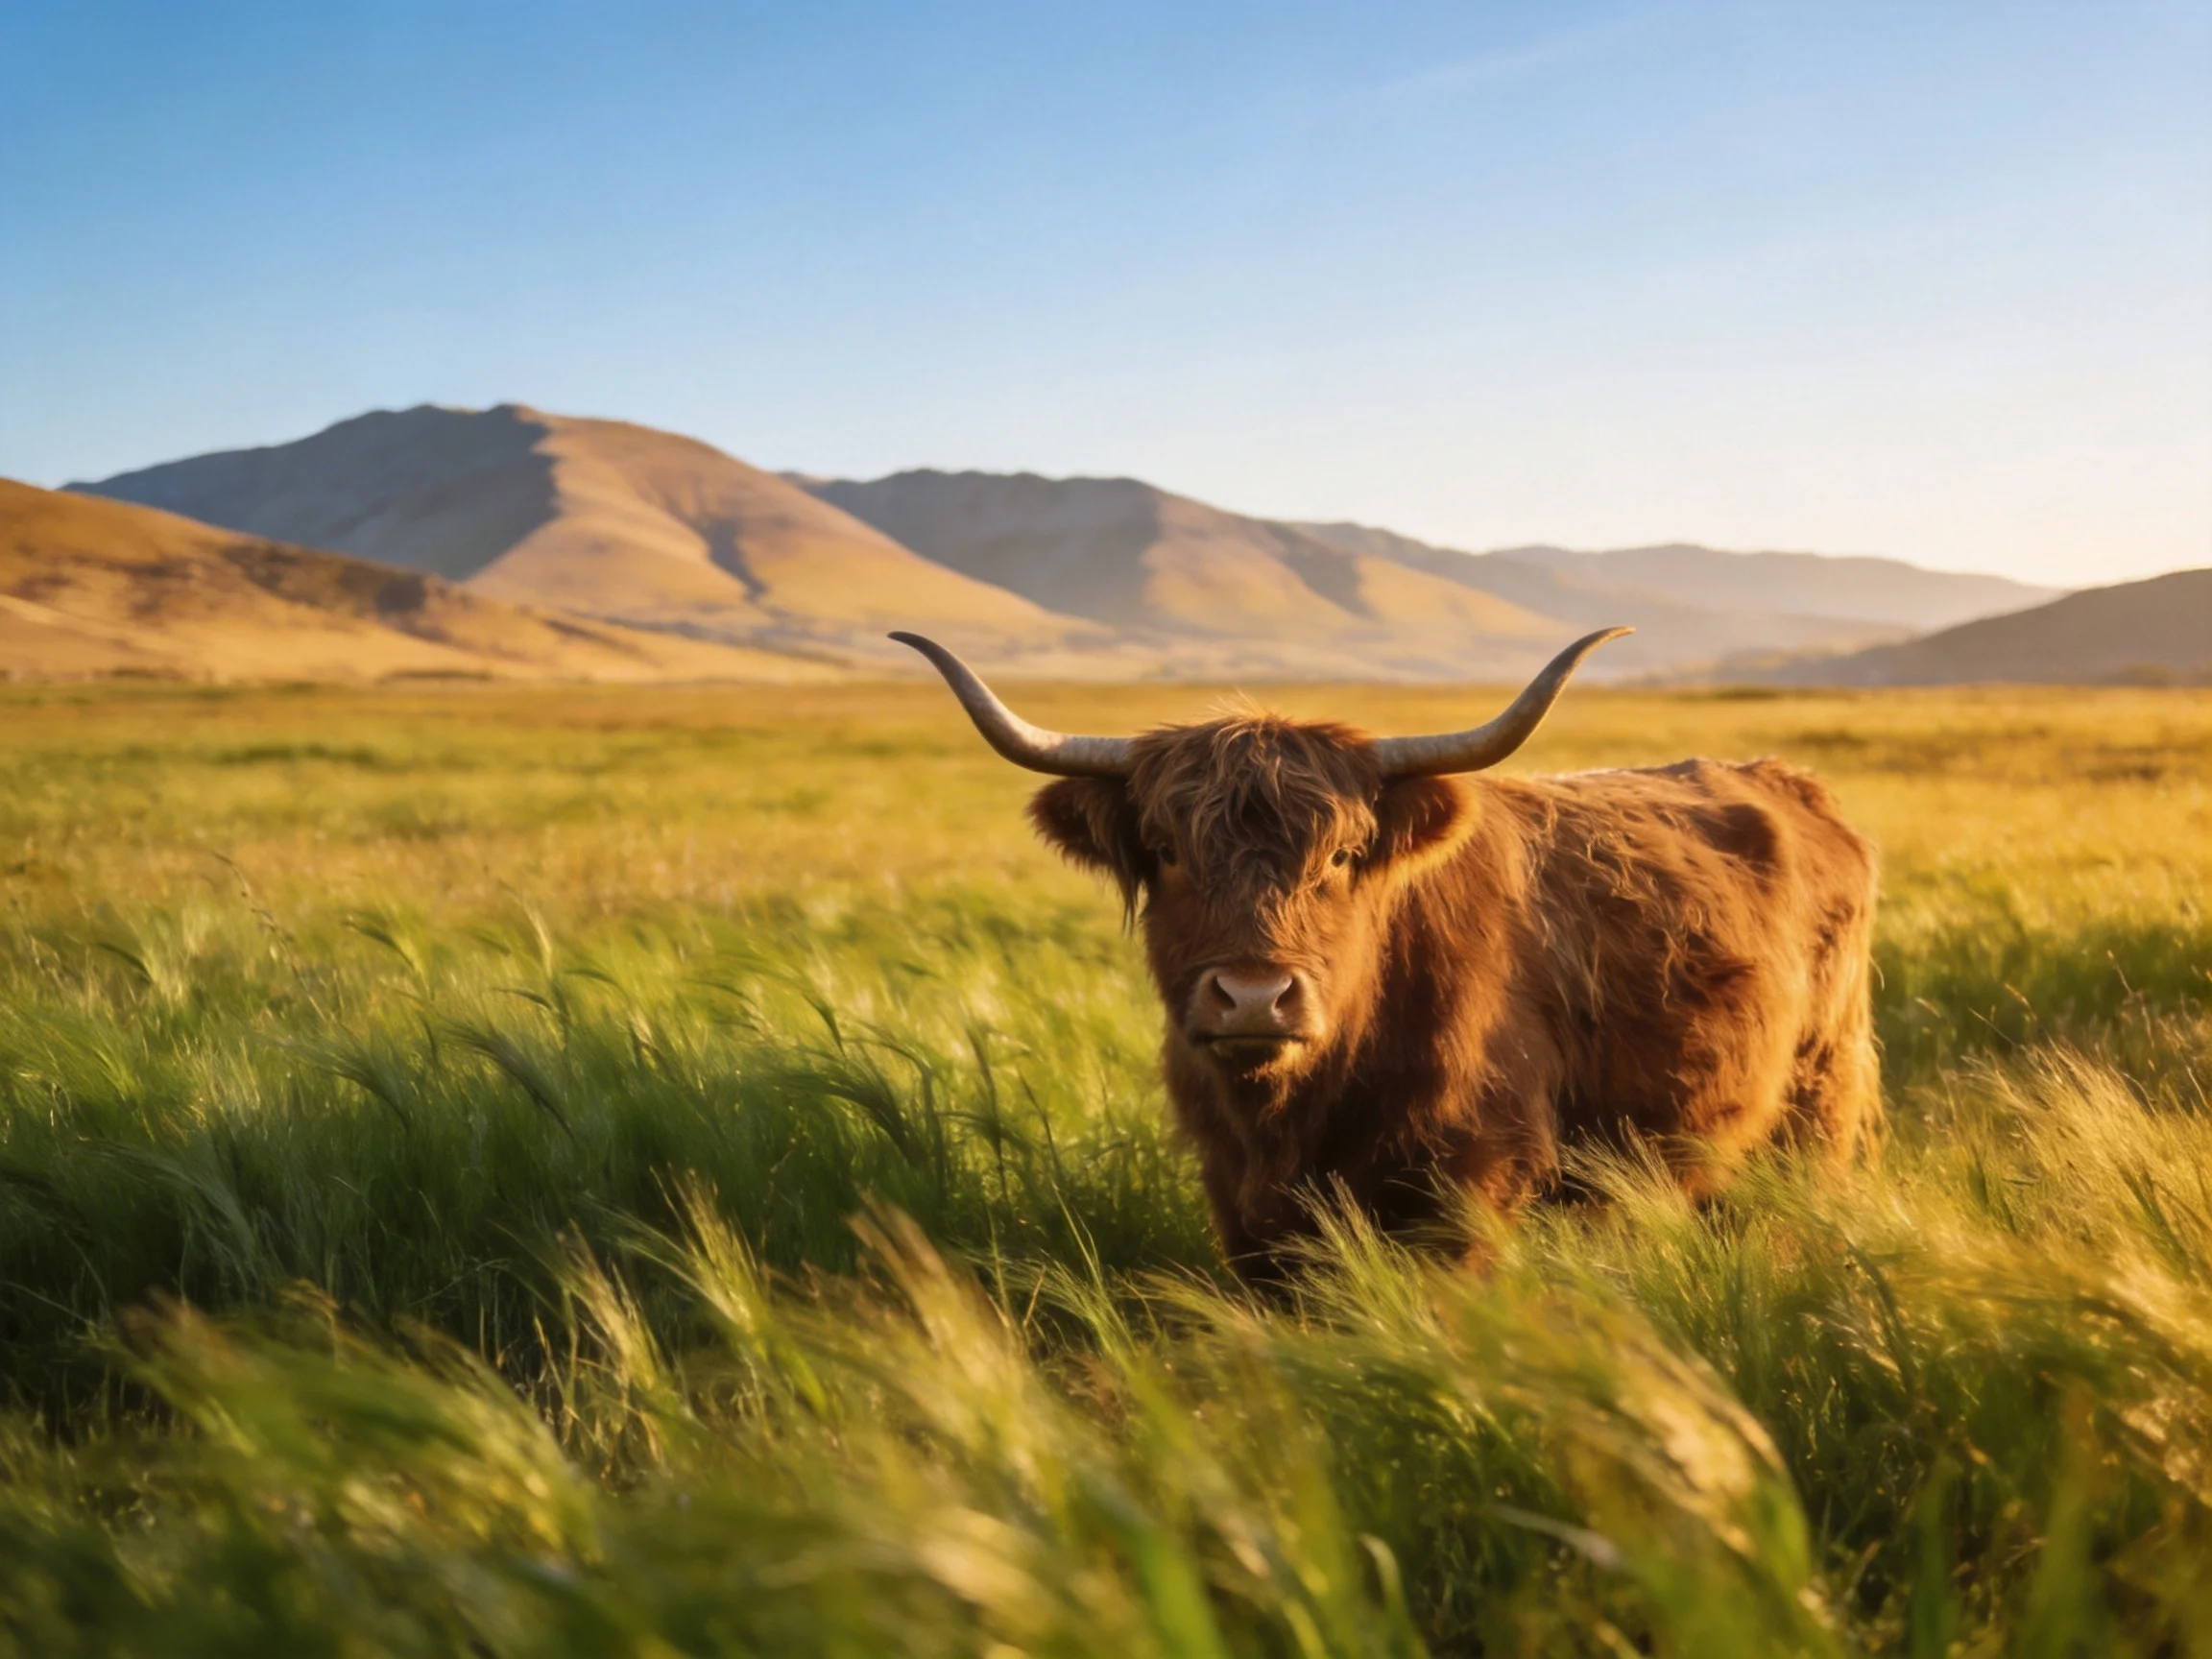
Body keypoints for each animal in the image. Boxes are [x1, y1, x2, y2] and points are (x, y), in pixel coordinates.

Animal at [894, 629, 1880, 1283]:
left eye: (1340, 856)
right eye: (1168, 851)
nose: (1253, 998)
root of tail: (1788, 782)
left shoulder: (1473, 1185)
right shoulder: (1242, 1201)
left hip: (1814, 1106)